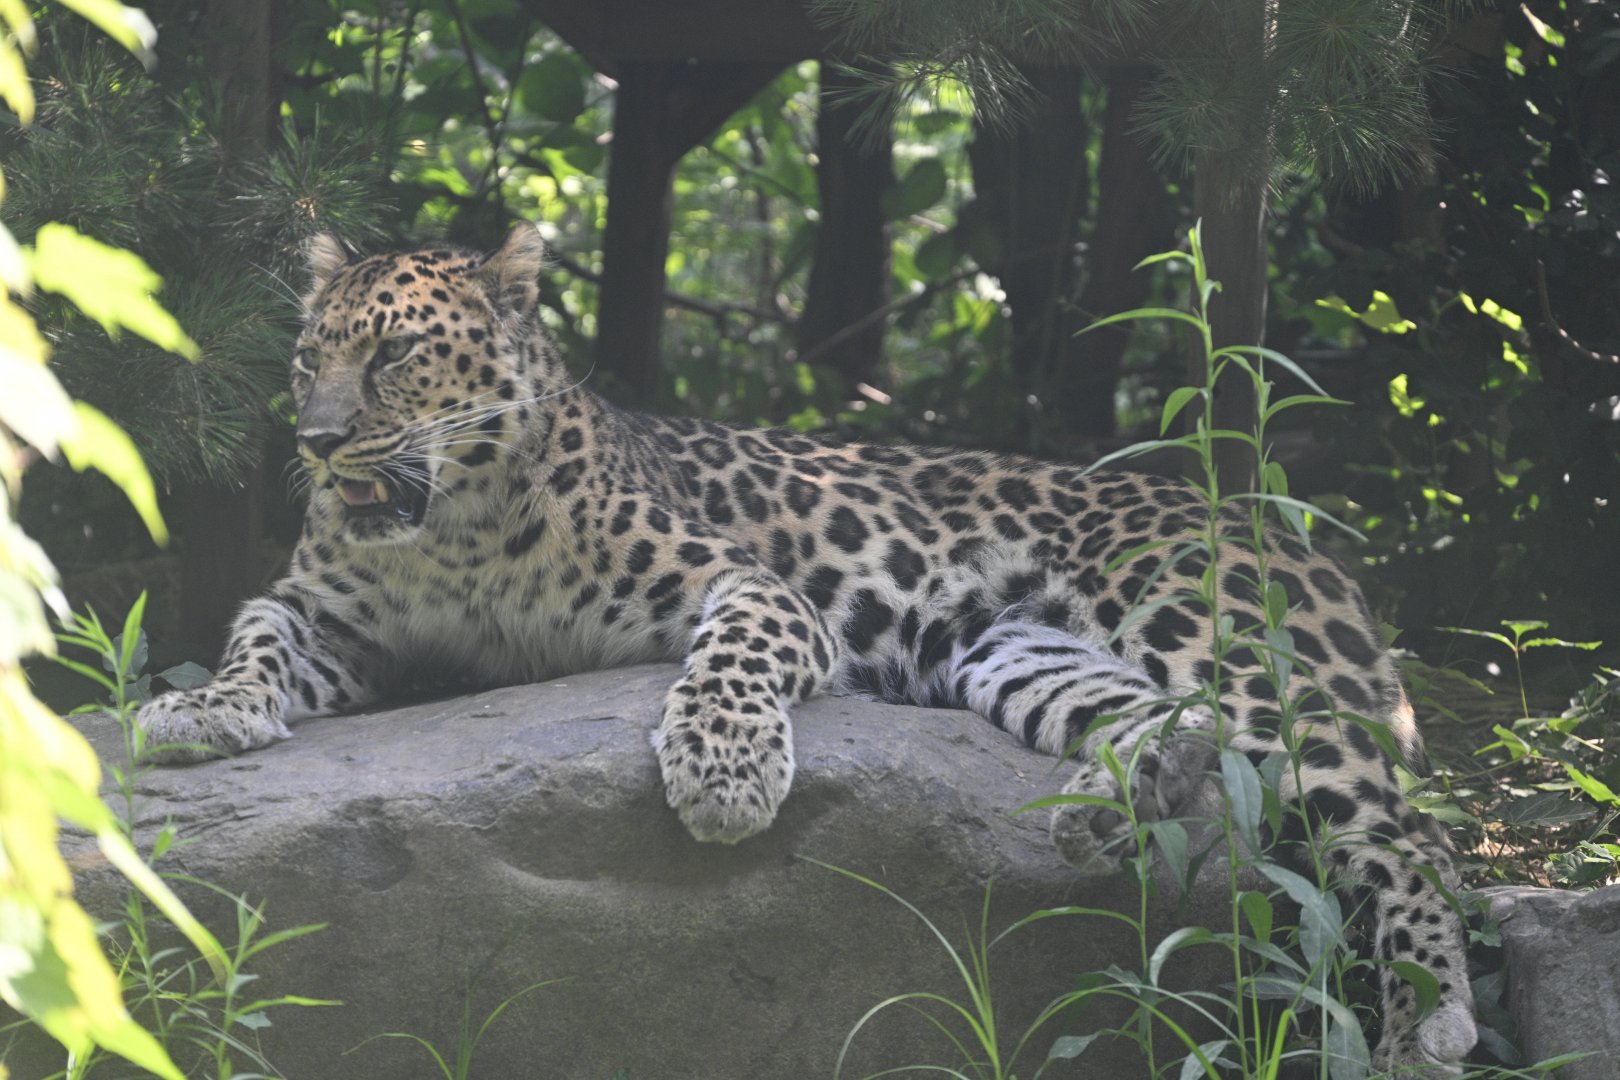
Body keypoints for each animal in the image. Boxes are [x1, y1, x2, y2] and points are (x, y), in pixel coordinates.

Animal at [137, 225, 1477, 1075]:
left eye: (398, 353)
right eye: (310, 356)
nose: (316, 443)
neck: (453, 532)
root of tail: (1279, 528)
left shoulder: (748, 583)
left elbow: (734, 657)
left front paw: (723, 774)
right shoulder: (331, 617)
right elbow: (253, 634)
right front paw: (201, 713)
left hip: (1235, 658)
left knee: (1405, 842)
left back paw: (1426, 1030)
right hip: (1014, 652)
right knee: (1171, 735)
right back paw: (1125, 799)